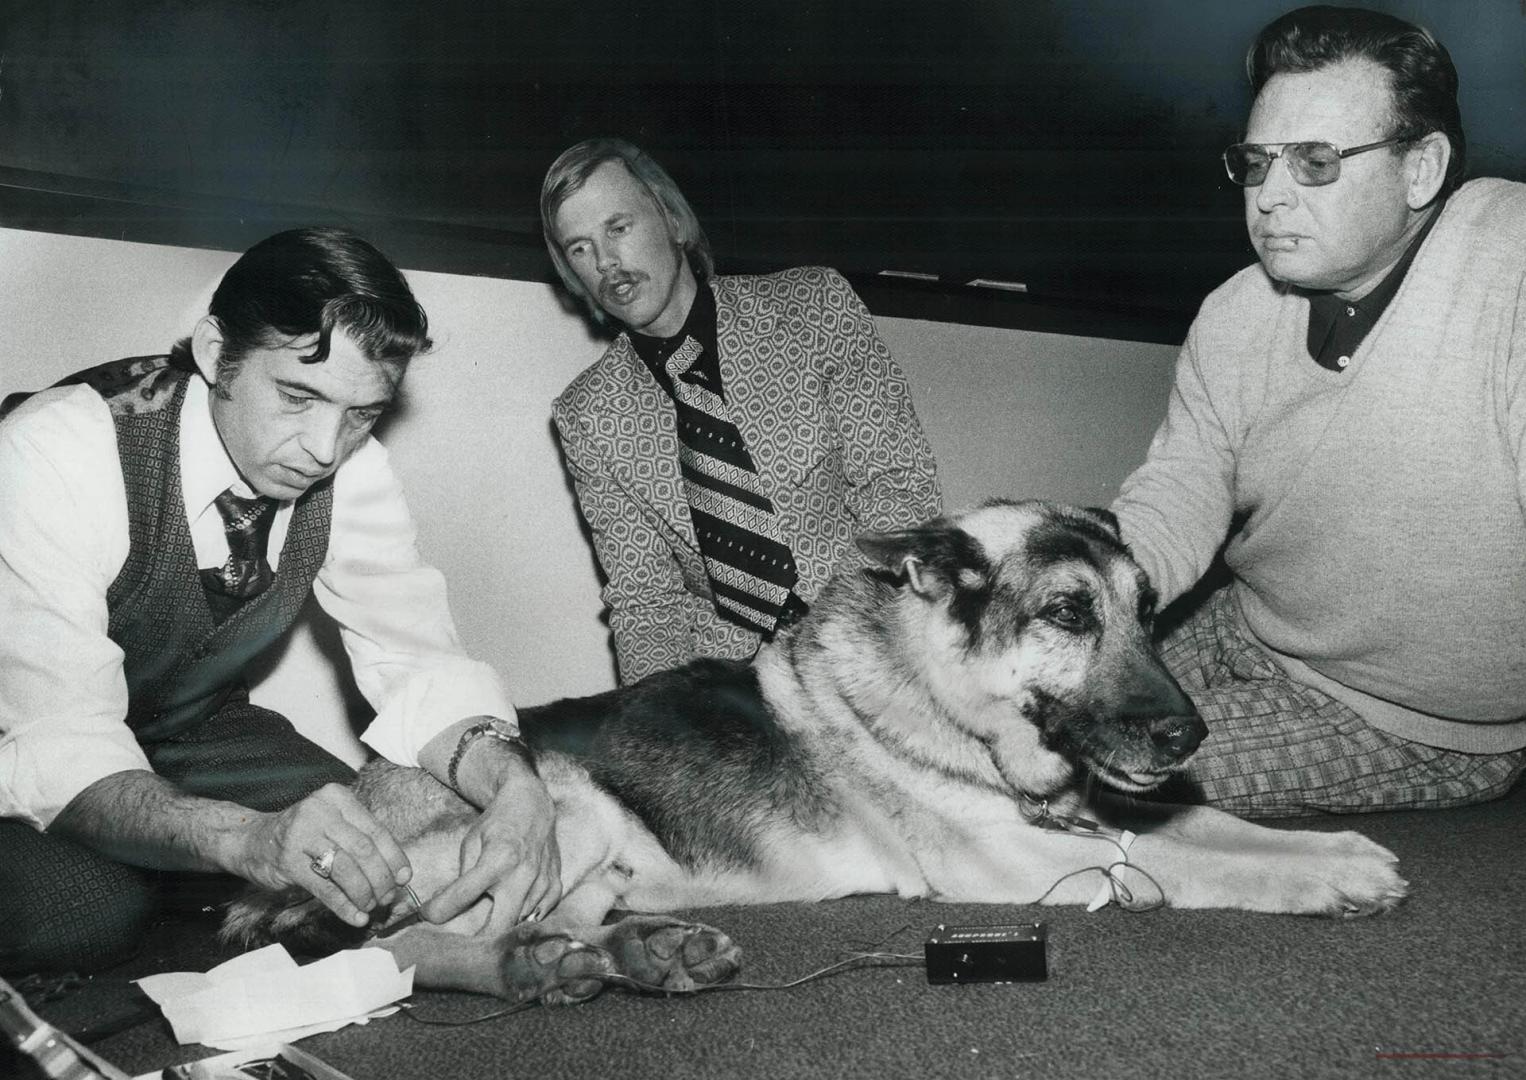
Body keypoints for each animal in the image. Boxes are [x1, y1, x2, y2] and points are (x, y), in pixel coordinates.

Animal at [225, 503, 1403, 1000]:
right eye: (1070, 614)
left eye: (1148, 614)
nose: (1187, 732)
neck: (940, 694)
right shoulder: (1029, 858)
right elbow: (1183, 858)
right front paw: (1320, 882)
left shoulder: (1091, 807)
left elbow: (1206, 818)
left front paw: (1332, 847)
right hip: (561, 807)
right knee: (398, 951)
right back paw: (536, 968)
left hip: (593, 865)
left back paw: (634, 956)